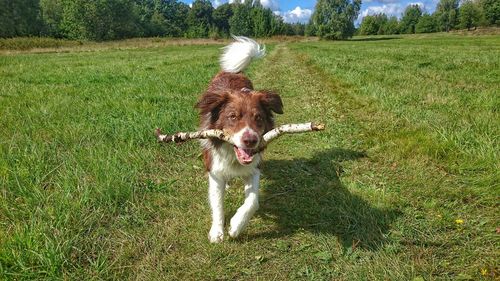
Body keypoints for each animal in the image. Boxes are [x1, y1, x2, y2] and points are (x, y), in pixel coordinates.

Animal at [194, 36, 282, 242]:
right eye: (232, 117)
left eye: (258, 118)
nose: (250, 140)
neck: (233, 156)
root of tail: (232, 72)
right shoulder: (214, 169)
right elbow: (217, 204)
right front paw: (217, 231)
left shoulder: (254, 168)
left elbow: (253, 201)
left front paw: (236, 225)